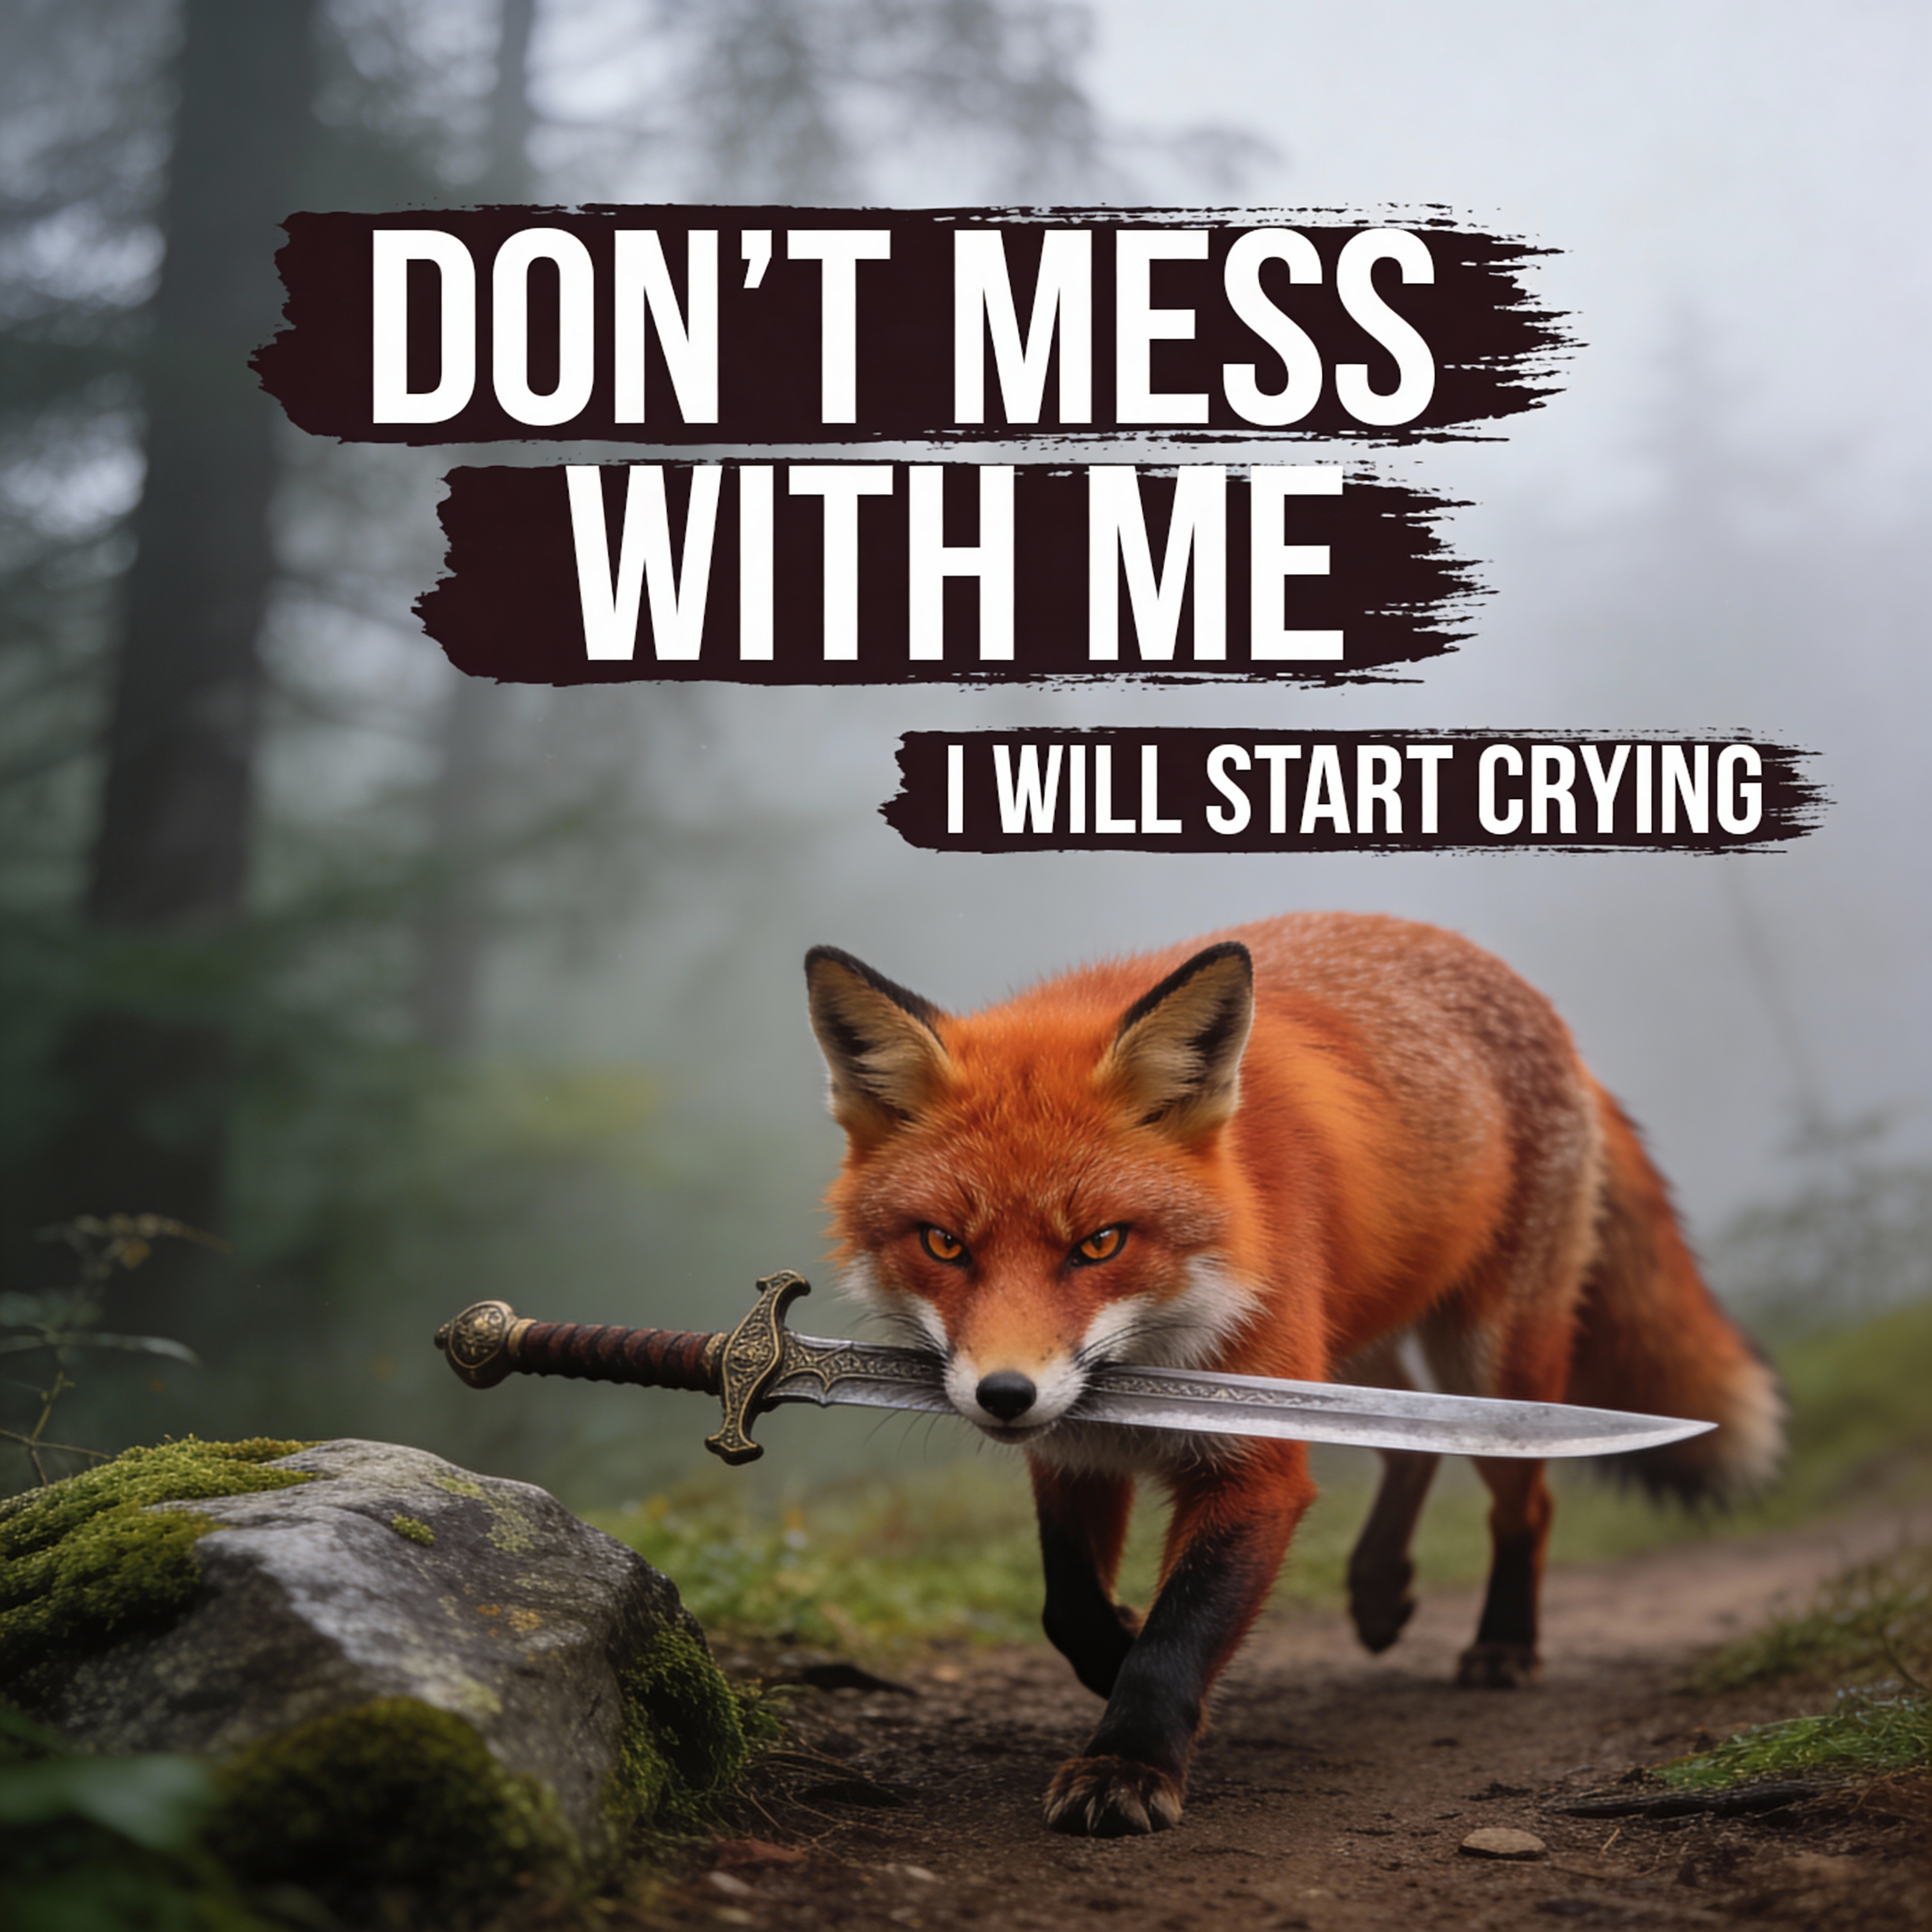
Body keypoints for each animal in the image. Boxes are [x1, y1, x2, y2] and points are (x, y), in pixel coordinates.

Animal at [802, 913, 1783, 1838]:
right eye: (944, 1244)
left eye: (1100, 1244)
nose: (1006, 1396)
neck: (1161, 1348)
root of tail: (1527, 995)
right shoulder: (1078, 1446)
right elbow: (1070, 1608)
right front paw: (1121, 1662)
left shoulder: (1257, 1463)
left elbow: (1179, 1632)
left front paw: (1129, 1762)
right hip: (1345, 1351)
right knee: (1410, 1441)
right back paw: (1380, 1589)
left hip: (1490, 1358)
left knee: (1525, 1503)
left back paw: (1503, 1643)